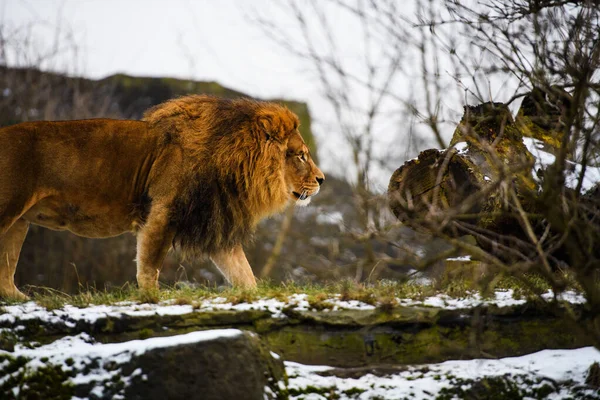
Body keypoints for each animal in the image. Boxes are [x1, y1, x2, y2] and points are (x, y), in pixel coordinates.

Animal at [0, 95, 324, 298]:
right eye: (302, 156)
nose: (322, 179)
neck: (233, 162)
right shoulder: (162, 212)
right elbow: (149, 267)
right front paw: (152, 299)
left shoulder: (216, 226)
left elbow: (245, 275)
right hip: (7, 209)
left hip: (19, 222)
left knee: (5, 276)